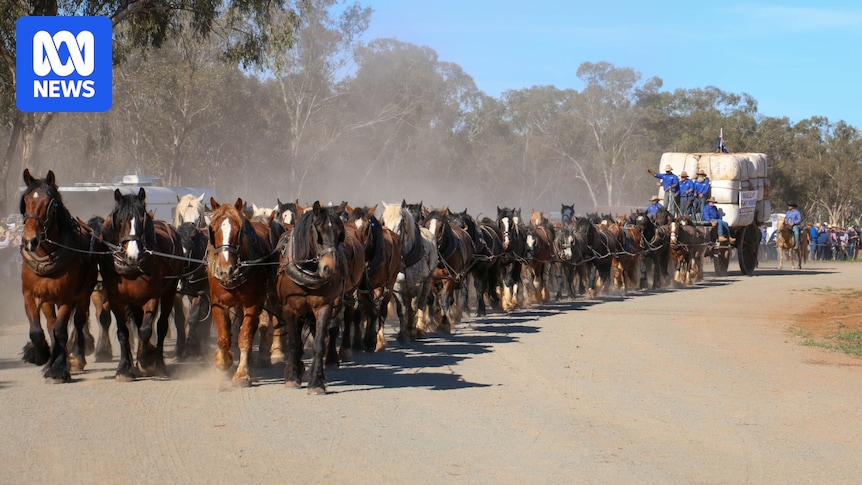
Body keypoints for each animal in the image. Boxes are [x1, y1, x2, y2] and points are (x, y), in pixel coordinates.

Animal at [19, 169, 99, 382]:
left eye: (50, 203)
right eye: (26, 200)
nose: (30, 240)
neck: (46, 255)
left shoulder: (67, 298)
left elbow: (61, 331)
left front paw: (58, 368)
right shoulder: (30, 295)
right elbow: (37, 331)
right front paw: (41, 355)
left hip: (83, 295)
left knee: (78, 322)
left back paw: (76, 358)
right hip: (48, 299)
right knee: (50, 325)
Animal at [98, 188, 184, 380]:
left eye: (142, 219)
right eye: (120, 220)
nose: (133, 255)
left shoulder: (151, 297)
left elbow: (146, 330)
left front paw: (146, 360)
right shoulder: (116, 299)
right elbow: (123, 332)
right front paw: (124, 369)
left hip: (168, 292)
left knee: (160, 326)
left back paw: (158, 363)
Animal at [207, 197, 278, 386]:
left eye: (238, 231)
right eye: (212, 229)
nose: (225, 270)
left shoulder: (253, 304)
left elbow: (245, 336)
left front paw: (242, 373)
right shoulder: (218, 303)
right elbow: (224, 338)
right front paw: (222, 361)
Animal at [276, 201, 346, 394]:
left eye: (340, 233)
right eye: (319, 232)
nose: (330, 268)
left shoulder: (324, 307)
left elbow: (319, 343)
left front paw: (316, 382)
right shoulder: (289, 309)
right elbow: (293, 343)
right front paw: (293, 378)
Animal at [380, 201, 438, 342]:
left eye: (401, 221)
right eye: (383, 220)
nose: (389, 240)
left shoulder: (416, 285)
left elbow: (413, 307)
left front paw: (411, 331)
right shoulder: (397, 286)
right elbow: (402, 310)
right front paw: (403, 333)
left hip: (427, 281)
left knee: (422, 303)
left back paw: (420, 329)